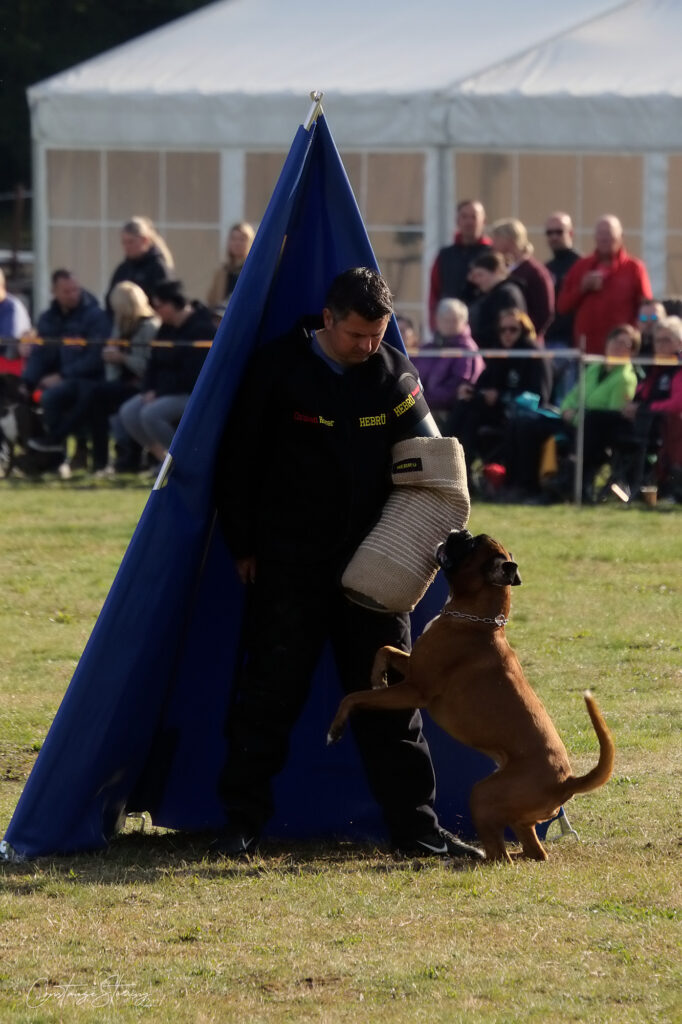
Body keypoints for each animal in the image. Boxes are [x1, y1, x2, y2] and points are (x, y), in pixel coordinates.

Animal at [327, 532, 614, 860]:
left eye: (472, 545)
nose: (458, 533)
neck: (476, 620)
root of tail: (567, 782)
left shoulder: (415, 690)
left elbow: (353, 697)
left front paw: (335, 729)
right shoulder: (411, 667)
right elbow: (383, 650)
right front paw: (378, 677)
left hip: (483, 796)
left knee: (499, 856)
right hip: (517, 815)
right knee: (533, 851)